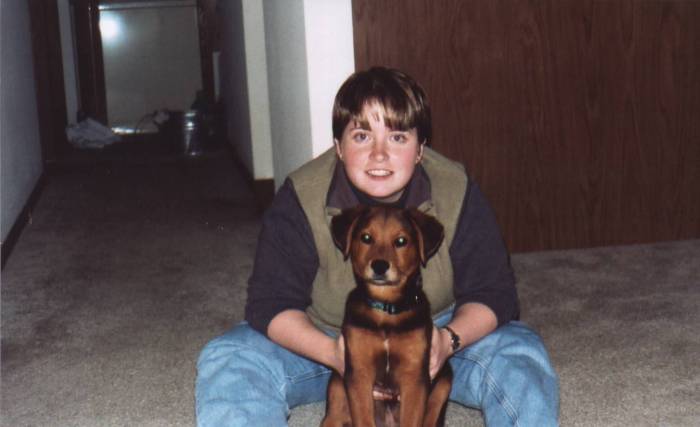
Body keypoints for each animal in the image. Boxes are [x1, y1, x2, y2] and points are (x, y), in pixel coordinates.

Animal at [321, 206, 452, 427]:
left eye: (401, 241)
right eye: (366, 237)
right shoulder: (359, 371)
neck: (386, 308)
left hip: (444, 378)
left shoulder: (414, 375)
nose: (380, 266)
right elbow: (363, 419)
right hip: (338, 386)